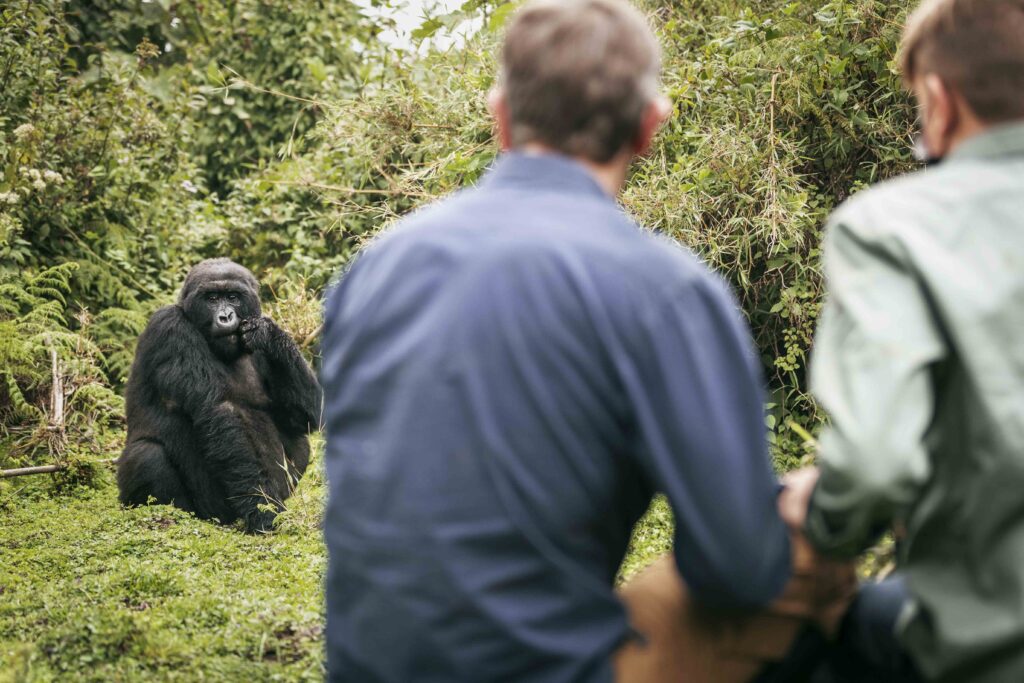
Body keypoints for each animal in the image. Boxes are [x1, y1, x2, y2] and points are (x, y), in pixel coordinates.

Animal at [116, 259, 317, 532]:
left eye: (232, 297)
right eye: (211, 298)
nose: (225, 316)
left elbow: (303, 417)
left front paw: (271, 335)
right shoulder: (170, 328)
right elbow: (218, 409)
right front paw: (261, 510)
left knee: (300, 437)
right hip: (208, 511)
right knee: (147, 454)